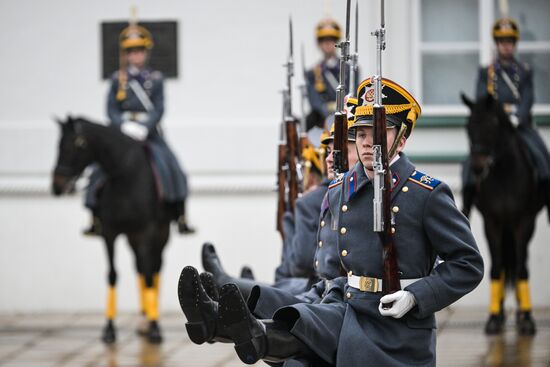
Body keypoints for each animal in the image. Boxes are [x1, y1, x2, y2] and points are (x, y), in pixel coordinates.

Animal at [52, 117, 172, 344]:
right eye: (58, 145)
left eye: (75, 146)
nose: (56, 186)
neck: (126, 177)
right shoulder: (109, 233)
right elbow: (112, 275)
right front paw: (109, 328)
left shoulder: (148, 231)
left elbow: (150, 276)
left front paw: (155, 327)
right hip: (133, 237)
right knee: (140, 267)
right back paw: (144, 317)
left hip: (160, 234)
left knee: (154, 268)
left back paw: (150, 318)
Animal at [464, 95, 544, 336]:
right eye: (468, 126)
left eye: (492, 125)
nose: (478, 167)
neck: (504, 175)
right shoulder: (492, 223)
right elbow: (496, 267)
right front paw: (494, 317)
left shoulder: (524, 222)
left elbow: (521, 268)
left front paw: (527, 317)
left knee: (519, 262)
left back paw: (520, 312)